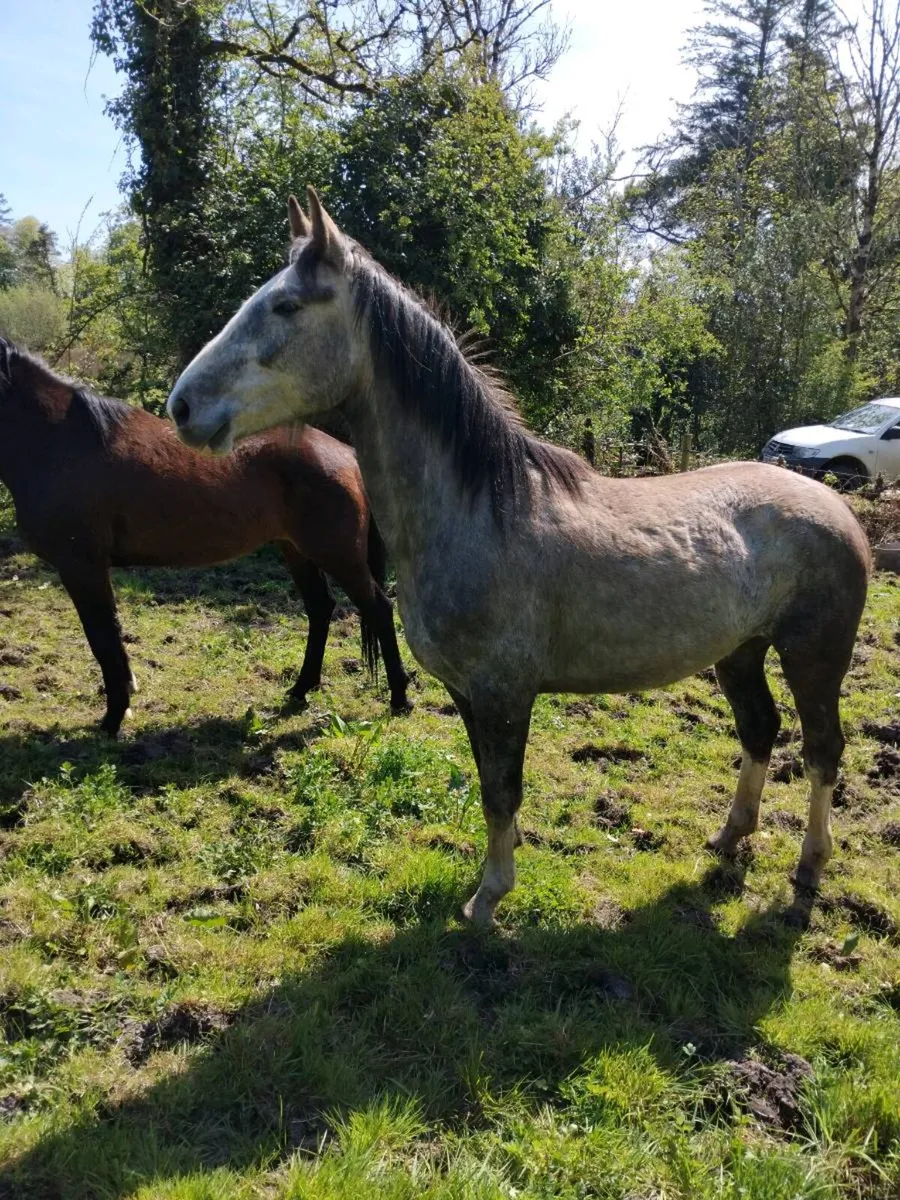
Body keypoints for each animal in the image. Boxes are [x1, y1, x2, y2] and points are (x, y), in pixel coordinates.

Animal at [0, 336, 409, 736]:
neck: (62, 443)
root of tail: (346, 454)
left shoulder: (82, 566)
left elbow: (103, 638)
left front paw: (114, 717)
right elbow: (109, 636)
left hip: (338, 554)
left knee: (378, 607)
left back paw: (400, 699)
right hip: (297, 550)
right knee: (321, 608)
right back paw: (300, 689)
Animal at [166, 189, 870, 924]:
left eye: (286, 306)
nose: (182, 406)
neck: (478, 512)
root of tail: (833, 502)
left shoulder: (504, 694)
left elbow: (503, 791)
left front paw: (488, 898)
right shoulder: (467, 694)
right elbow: (488, 788)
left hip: (813, 658)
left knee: (822, 752)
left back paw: (808, 868)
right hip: (740, 652)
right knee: (759, 730)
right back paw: (731, 837)